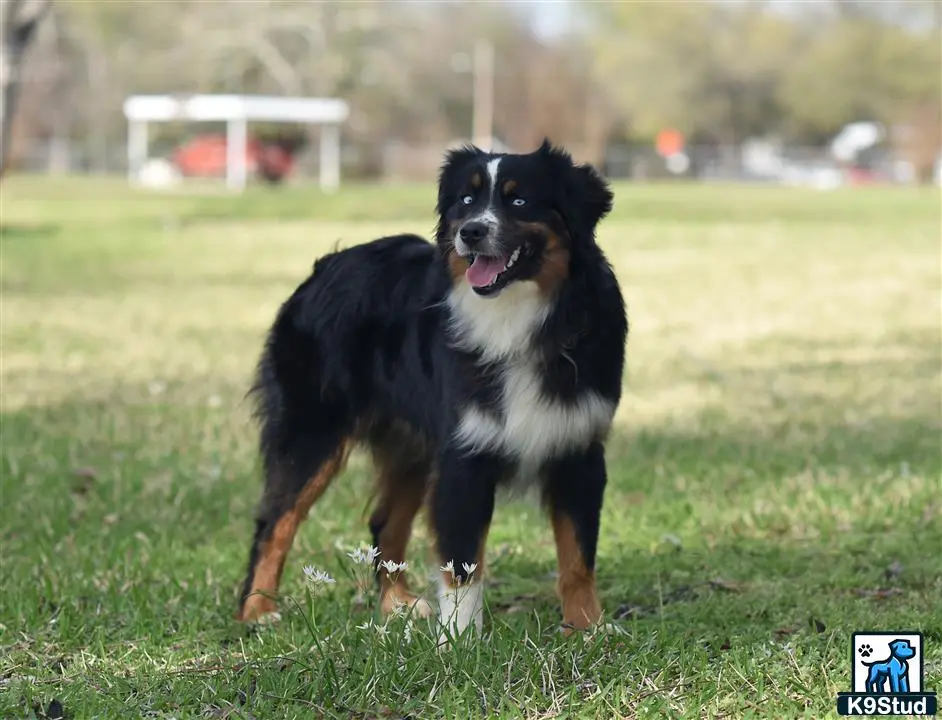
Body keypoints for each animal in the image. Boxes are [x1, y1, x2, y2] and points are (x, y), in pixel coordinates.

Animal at [240, 138, 632, 640]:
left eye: (519, 200)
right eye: (465, 200)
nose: (471, 232)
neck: (520, 316)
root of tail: (327, 264)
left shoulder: (577, 449)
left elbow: (578, 557)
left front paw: (586, 627)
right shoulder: (463, 456)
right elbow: (463, 564)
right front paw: (461, 641)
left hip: (413, 445)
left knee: (383, 522)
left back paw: (397, 606)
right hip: (313, 434)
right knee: (274, 522)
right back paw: (256, 609)